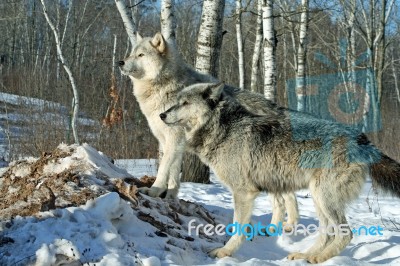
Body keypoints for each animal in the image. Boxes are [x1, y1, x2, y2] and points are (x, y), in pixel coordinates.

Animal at [119, 31, 300, 225]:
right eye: (131, 53)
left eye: (141, 55)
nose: (120, 62)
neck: (164, 88)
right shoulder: (171, 142)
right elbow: (174, 174)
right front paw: (170, 196)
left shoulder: (174, 140)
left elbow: (163, 170)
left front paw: (153, 191)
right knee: (288, 199)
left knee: (281, 201)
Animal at [161, 82, 400, 264]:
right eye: (177, 101)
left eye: (184, 103)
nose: (162, 114)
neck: (224, 130)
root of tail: (362, 140)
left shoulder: (243, 193)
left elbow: (238, 228)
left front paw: (224, 252)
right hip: (319, 198)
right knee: (327, 232)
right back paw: (305, 255)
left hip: (324, 197)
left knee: (345, 233)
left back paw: (318, 259)